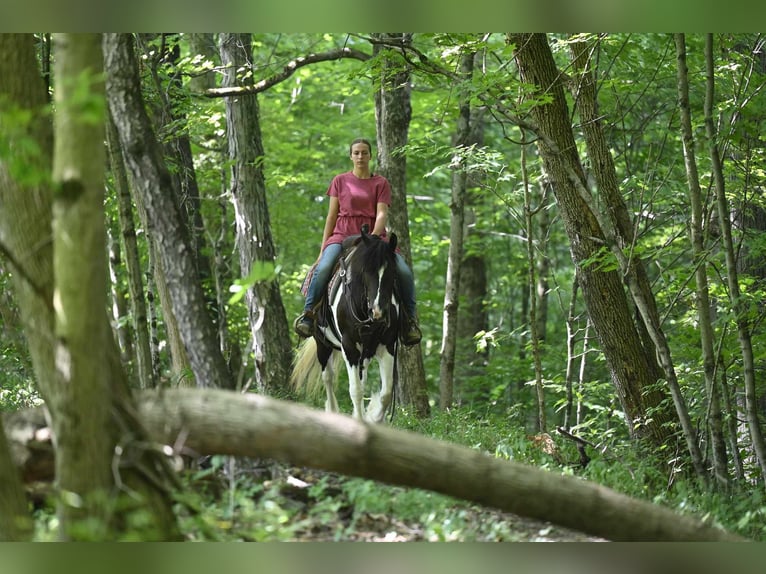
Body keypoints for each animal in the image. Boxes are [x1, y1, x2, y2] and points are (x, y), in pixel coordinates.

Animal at [290, 227, 402, 426]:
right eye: (366, 270)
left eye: (392, 272)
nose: (378, 312)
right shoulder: (349, 346)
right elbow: (355, 390)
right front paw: (359, 421)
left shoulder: (387, 344)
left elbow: (386, 392)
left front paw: (373, 418)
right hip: (322, 343)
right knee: (328, 377)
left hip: (366, 351)